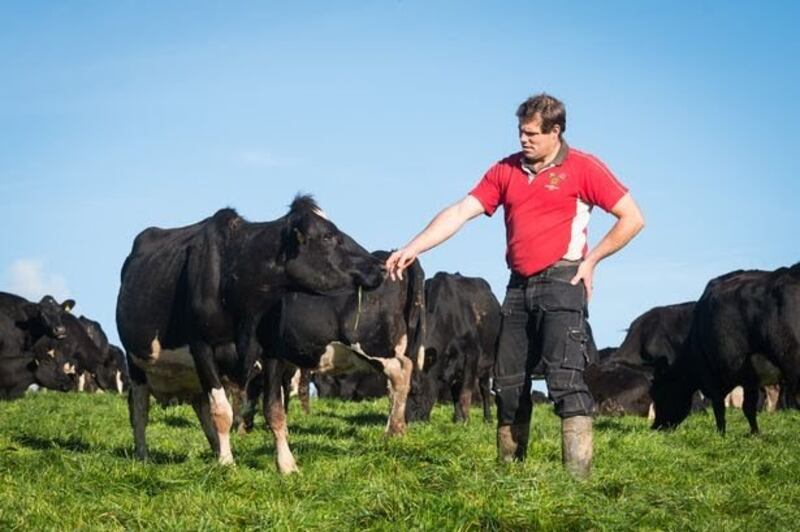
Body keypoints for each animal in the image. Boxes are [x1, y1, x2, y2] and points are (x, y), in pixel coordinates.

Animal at [115, 195, 384, 466]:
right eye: (328, 236)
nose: (379, 267)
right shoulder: (202, 347)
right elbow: (222, 411)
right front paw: (227, 463)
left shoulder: (272, 350)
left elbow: (274, 410)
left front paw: (286, 464)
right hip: (136, 363)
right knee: (139, 409)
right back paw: (143, 455)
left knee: (200, 408)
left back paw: (215, 448)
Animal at [262, 252, 424, 474]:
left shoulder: (270, 356)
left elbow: (271, 406)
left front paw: (285, 465)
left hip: (370, 343)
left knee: (401, 370)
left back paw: (394, 430)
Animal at [406, 272, 500, 422]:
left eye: (418, 390)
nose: (408, 420)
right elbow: (455, 391)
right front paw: (459, 419)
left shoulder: (472, 354)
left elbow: (466, 390)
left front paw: (466, 420)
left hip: (487, 361)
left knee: (484, 387)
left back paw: (488, 418)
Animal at [652, 264, 800, 434]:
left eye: (659, 394)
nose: (655, 427)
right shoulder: (749, 377)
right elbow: (748, 407)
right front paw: (755, 434)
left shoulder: (710, 376)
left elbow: (719, 409)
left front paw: (721, 434)